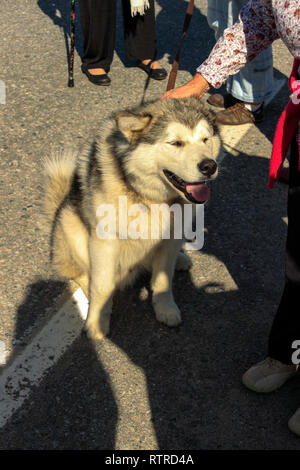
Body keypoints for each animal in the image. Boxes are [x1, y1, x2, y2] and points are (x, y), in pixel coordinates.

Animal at [45, 97, 223, 340]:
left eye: (205, 139)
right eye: (175, 143)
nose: (209, 166)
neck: (150, 197)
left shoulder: (171, 236)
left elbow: (162, 279)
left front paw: (165, 308)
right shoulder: (104, 241)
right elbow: (101, 285)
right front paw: (97, 321)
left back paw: (180, 259)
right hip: (69, 224)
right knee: (80, 273)